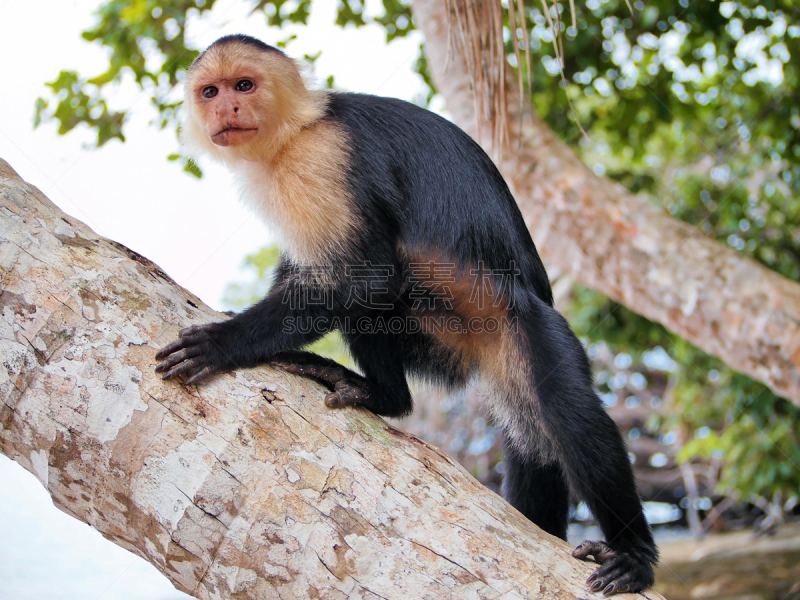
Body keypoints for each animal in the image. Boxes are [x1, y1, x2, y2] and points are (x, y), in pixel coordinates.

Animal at [155, 35, 656, 592]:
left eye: (244, 85)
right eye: (211, 91)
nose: (228, 108)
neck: (296, 127)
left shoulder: (321, 158)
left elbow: (368, 276)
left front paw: (225, 342)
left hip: (527, 328)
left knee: (567, 410)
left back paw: (634, 555)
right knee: (531, 441)